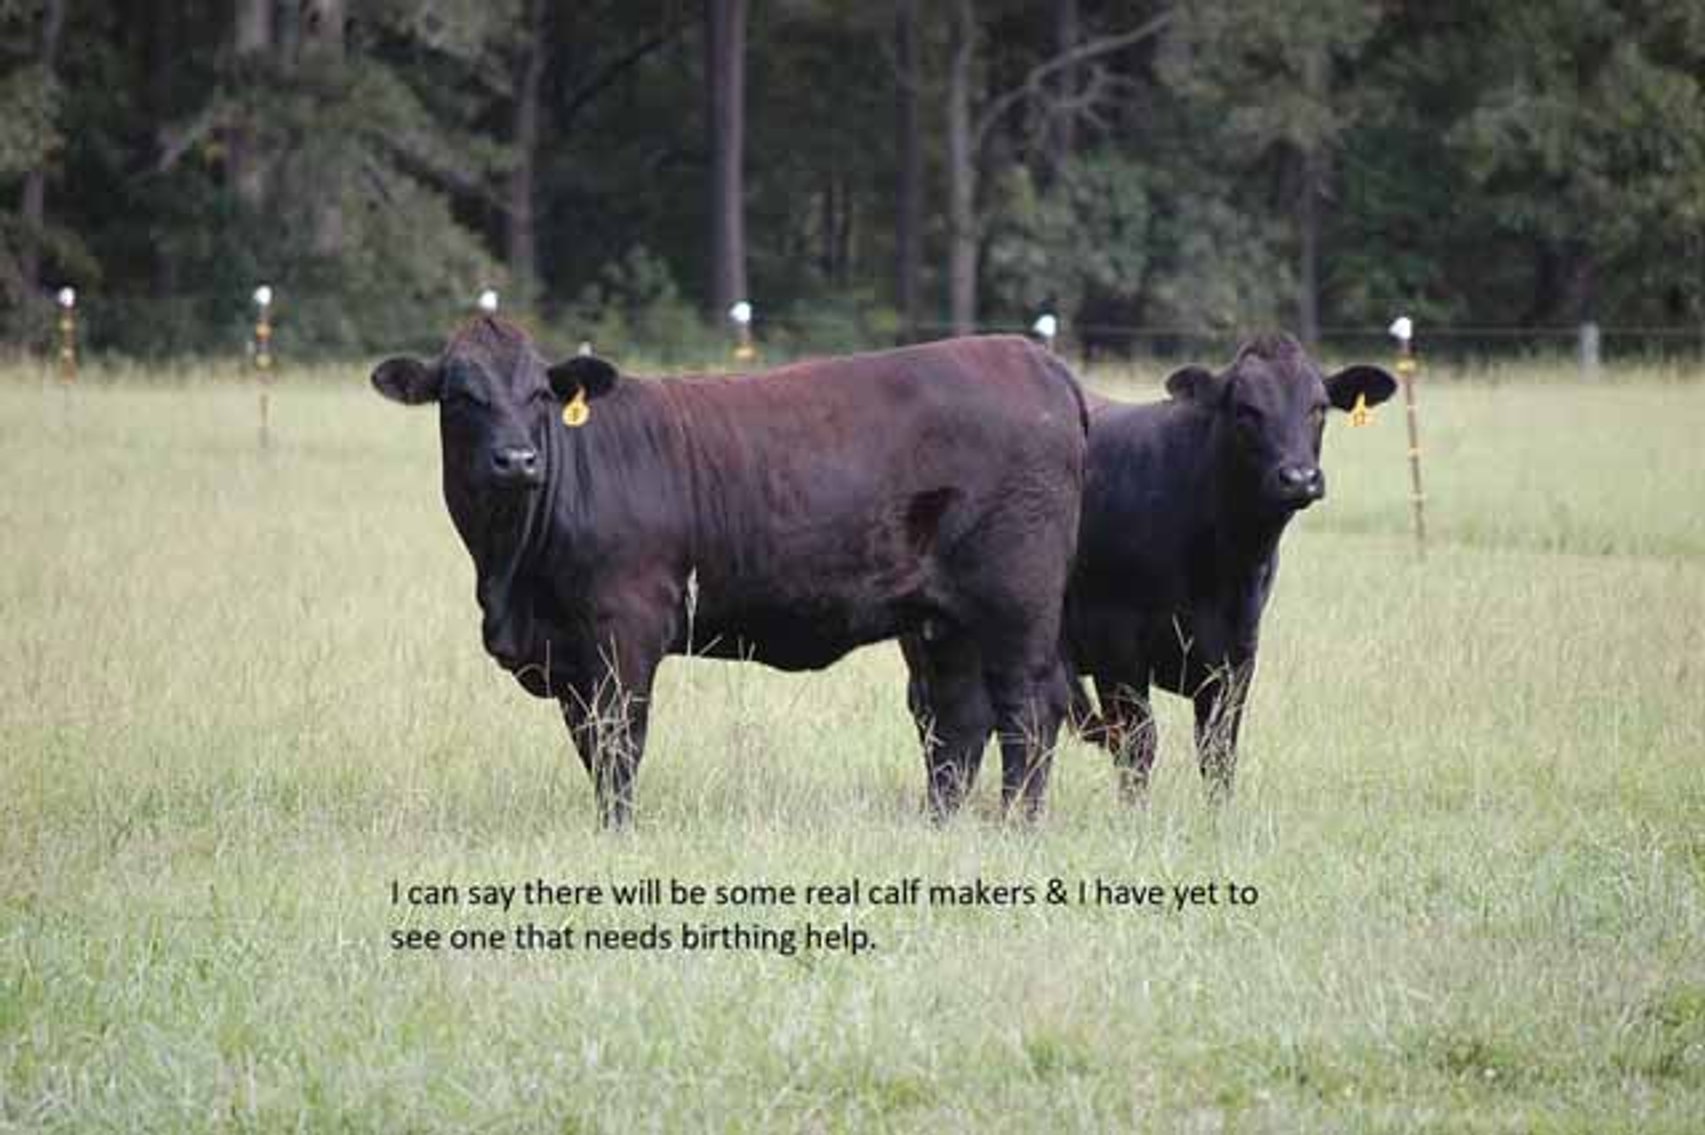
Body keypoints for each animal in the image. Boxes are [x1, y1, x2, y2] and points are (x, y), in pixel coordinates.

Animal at [371, 318, 1087, 826]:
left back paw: (1018, 823)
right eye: (461, 396)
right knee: (957, 721)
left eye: (541, 394)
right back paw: (941, 824)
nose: (518, 460)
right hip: (943, 621)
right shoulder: (567, 652)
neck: (510, 573)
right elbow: (589, 744)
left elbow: (619, 740)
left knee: (1028, 708)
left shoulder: (626, 626)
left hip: (1016, 602)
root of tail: (1034, 358)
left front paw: (617, 832)